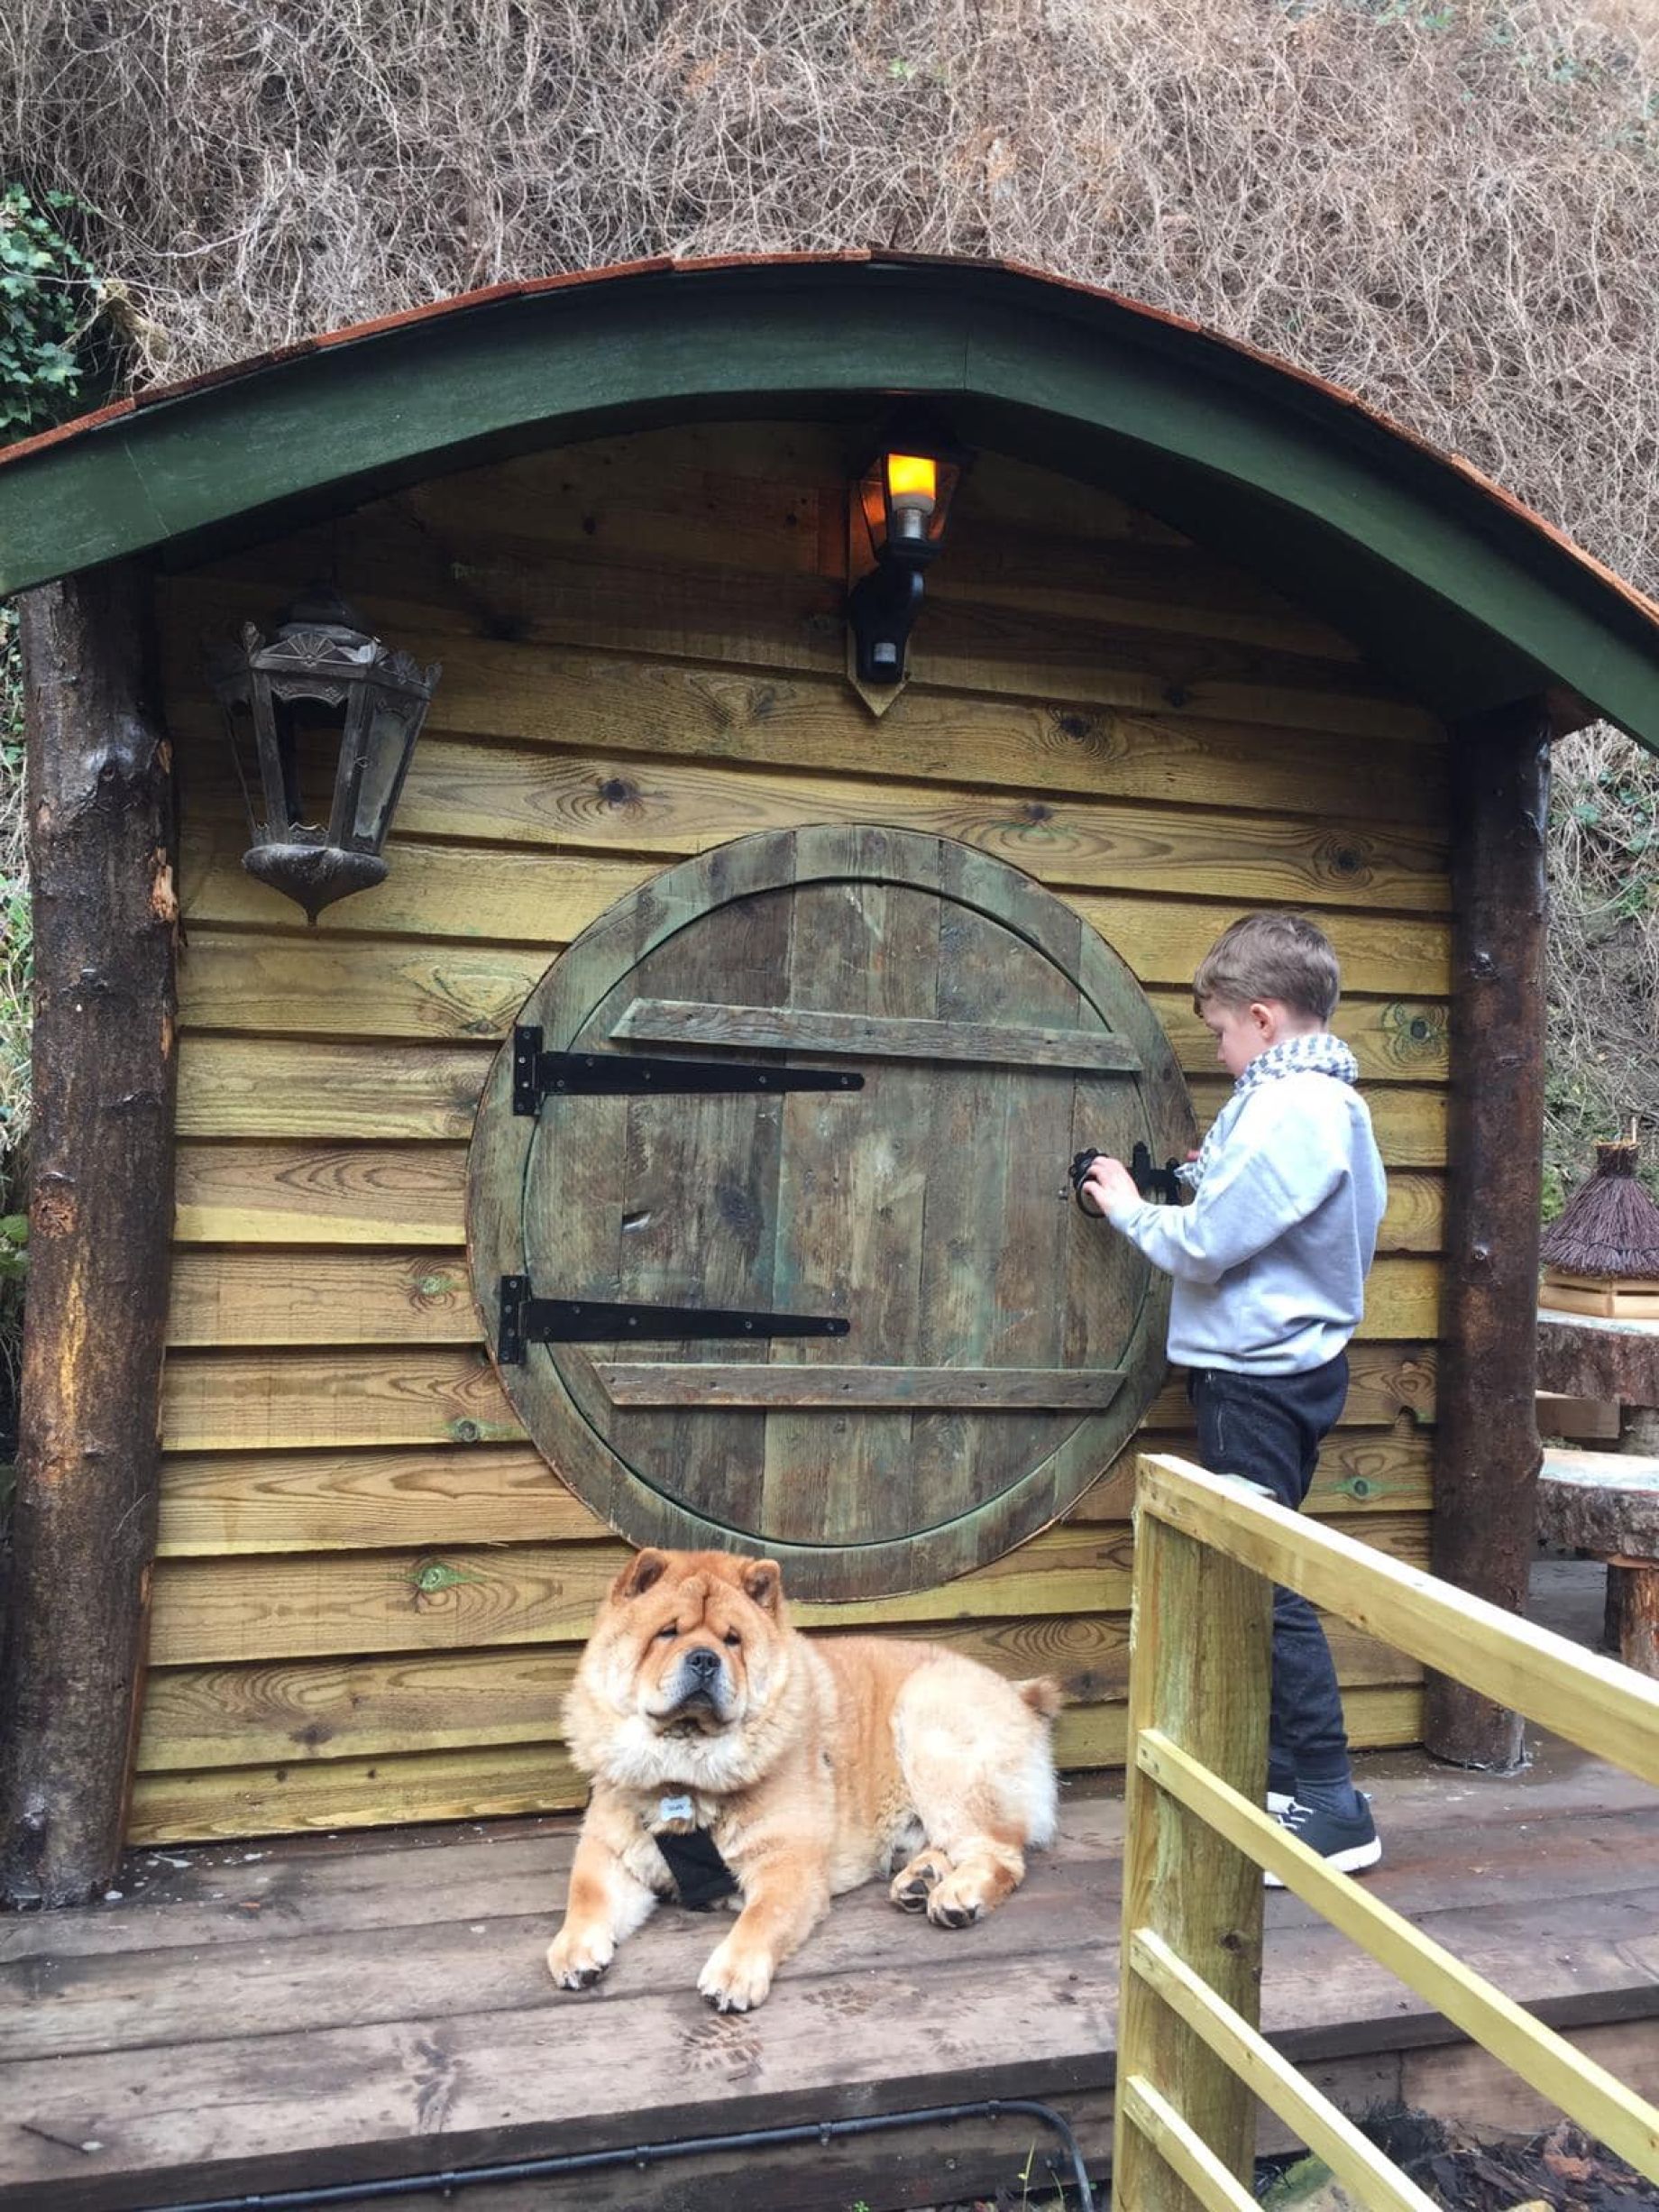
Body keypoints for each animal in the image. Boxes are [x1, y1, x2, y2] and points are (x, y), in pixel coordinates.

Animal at [546, 1547, 1062, 2012]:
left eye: (733, 1640)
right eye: (666, 1632)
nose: (704, 1659)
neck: (685, 1775)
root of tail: (1015, 1691)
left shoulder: (786, 1863)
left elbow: (760, 1919)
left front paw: (733, 1975)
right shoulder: (610, 1850)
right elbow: (586, 1895)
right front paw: (573, 1950)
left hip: (930, 1729)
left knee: (999, 1853)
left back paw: (956, 1894)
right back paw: (921, 1880)